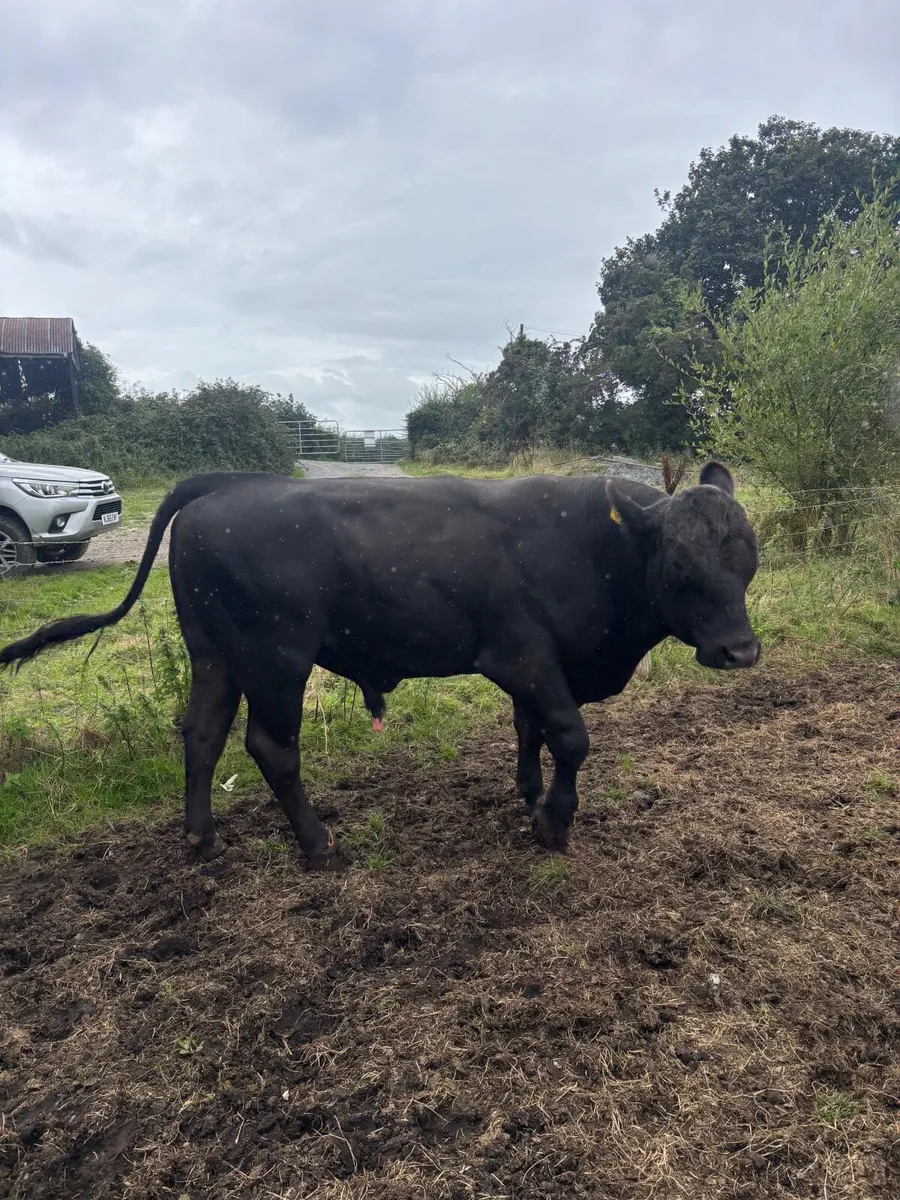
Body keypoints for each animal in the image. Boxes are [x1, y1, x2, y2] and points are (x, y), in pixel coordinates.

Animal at [0, 461, 760, 866]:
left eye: (747, 558)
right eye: (680, 565)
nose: (741, 650)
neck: (596, 548)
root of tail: (229, 487)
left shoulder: (539, 666)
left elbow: (531, 730)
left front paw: (528, 792)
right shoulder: (523, 654)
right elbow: (570, 737)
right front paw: (553, 821)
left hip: (215, 654)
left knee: (203, 735)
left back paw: (202, 838)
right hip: (275, 658)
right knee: (270, 746)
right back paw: (317, 843)